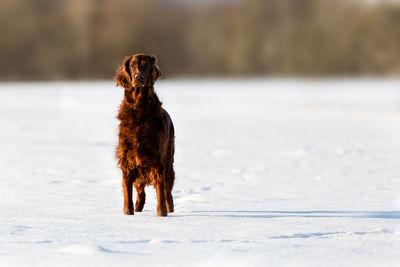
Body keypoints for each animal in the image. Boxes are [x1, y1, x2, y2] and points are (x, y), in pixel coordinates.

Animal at [113, 53, 174, 217]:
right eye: (132, 65)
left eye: (145, 65)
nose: (138, 77)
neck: (138, 108)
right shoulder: (127, 159)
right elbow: (127, 193)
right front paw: (128, 213)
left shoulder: (157, 159)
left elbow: (160, 192)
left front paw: (162, 215)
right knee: (141, 193)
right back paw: (138, 209)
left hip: (168, 162)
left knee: (167, 191)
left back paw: (170, 209)